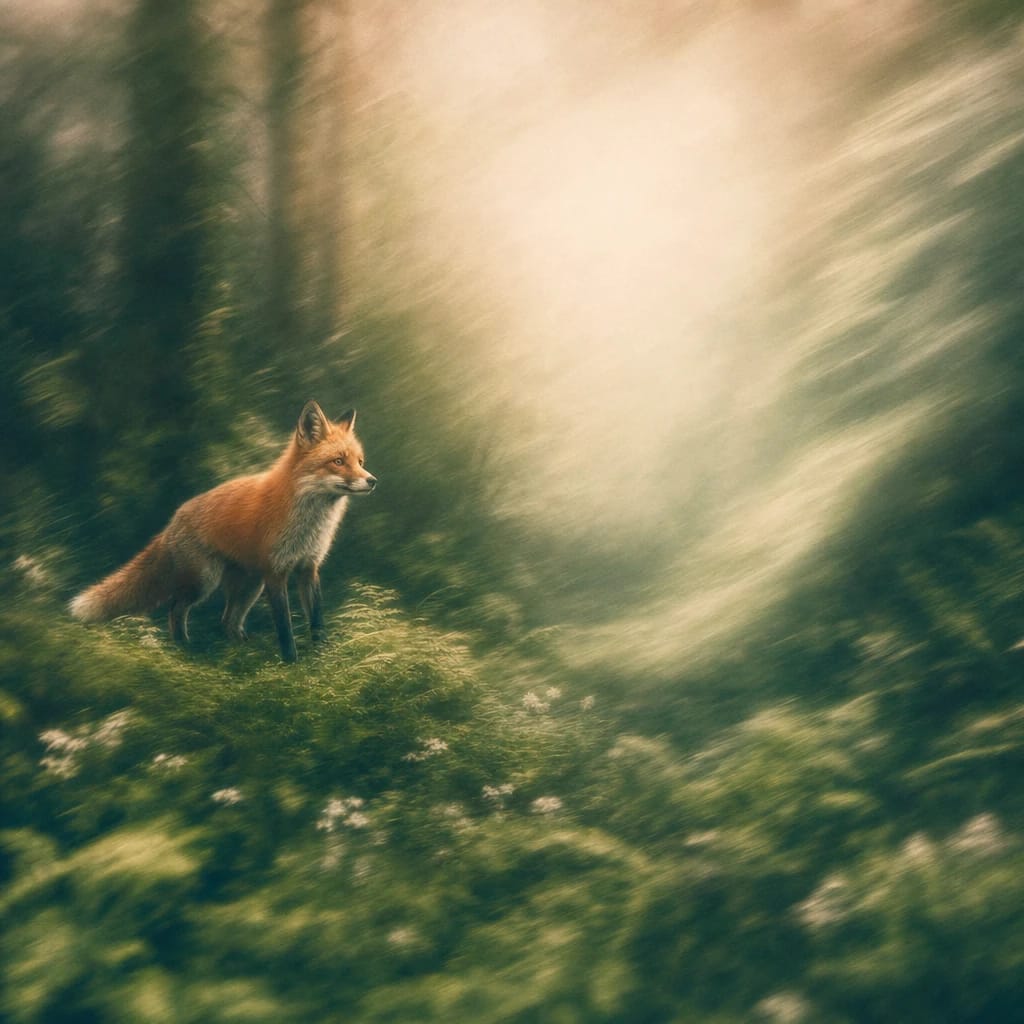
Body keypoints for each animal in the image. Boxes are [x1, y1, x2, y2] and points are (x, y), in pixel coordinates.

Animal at [69, 401, 376, 662]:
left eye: (360, 462)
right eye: (338, 461)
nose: (372, 481)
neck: (309, 521)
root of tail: (174, 519)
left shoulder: (308, 568)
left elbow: (317, 620)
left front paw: (322, 658)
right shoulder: (276, 573)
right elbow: (285, 628)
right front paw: (292, 665)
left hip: (249, 585)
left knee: (227, 622)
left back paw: (244, 653)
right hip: (206, 581)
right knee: (176, 609)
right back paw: (187, 652)